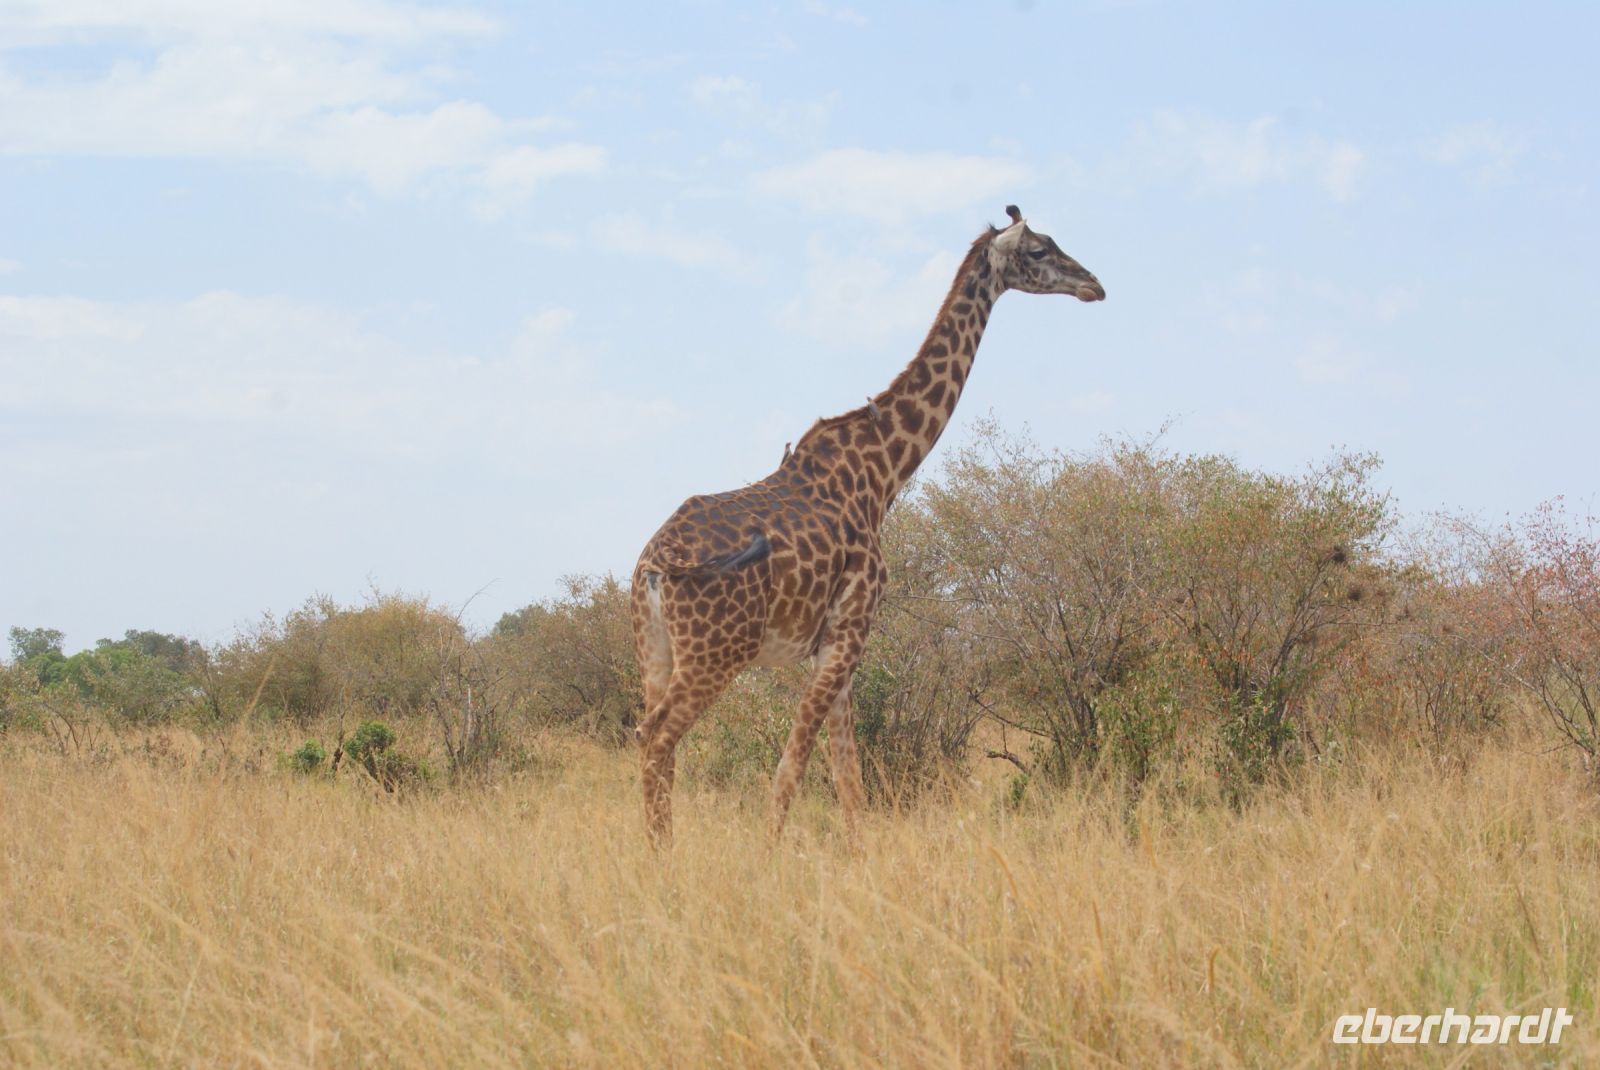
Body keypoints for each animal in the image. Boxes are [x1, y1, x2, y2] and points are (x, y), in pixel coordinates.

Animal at [630, 205, 1105, 844]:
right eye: (1037, 250)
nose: (1093, 285)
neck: (882, 473)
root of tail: (654, 567)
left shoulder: (837, 643)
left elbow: (849, 780)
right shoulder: (850, 629)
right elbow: (794, 769)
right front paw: (769, 853)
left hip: (654, 649)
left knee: (652, 744)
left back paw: (658, 854)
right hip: (717, 654)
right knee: (658, 739)